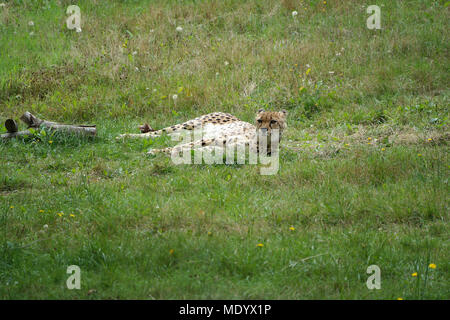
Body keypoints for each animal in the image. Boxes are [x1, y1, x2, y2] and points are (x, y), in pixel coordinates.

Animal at [116, 109, 288, 156]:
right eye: (259, 120)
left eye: (273, 121)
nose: (264, 130)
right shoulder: (213, 140)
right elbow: (178, 147)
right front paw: (156, 151)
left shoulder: (221, 149)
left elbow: (188, 149)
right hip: (188, 125)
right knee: (157, 133)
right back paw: (123, 136)